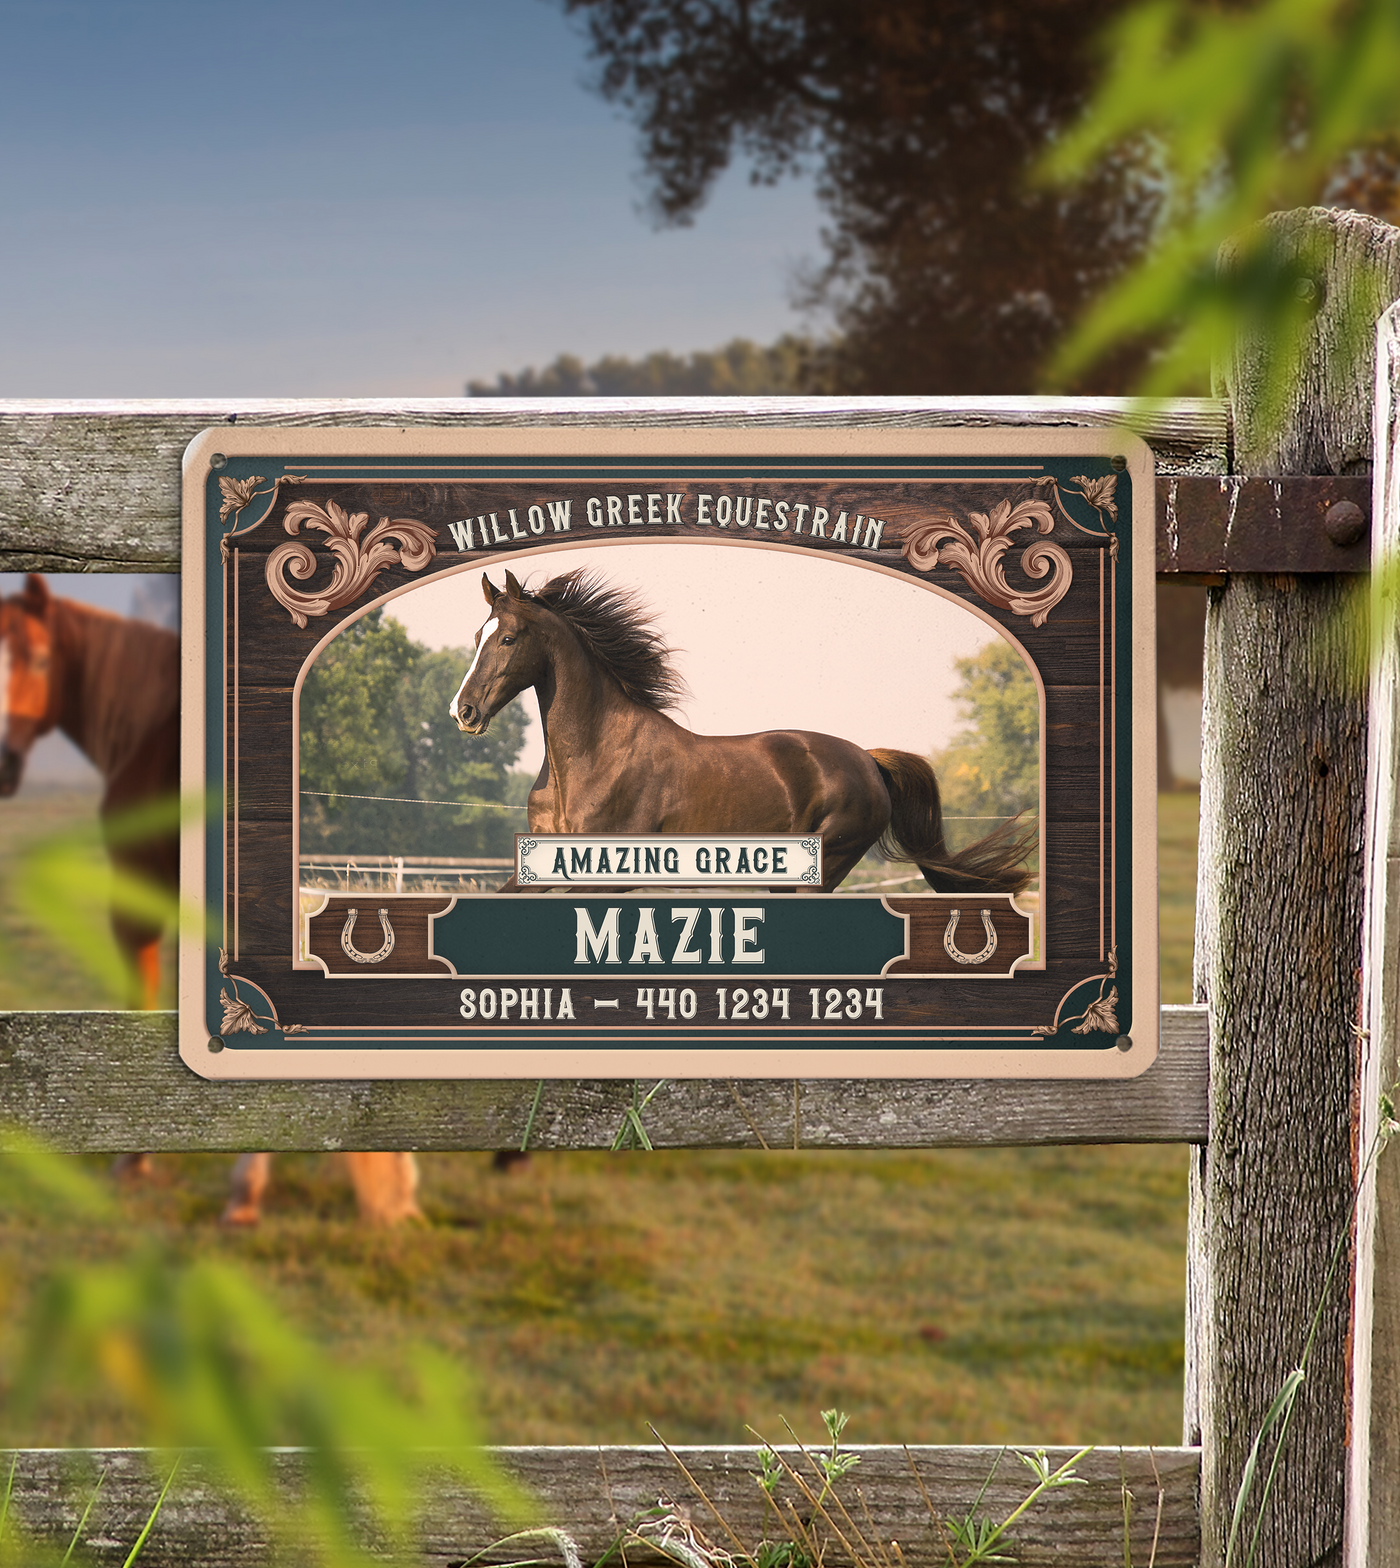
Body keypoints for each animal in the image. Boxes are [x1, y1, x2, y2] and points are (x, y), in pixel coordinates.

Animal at [449, 568, 1034, 895]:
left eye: (508, 638)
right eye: (477, 635)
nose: (464, 711)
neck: (592, 759)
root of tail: (868, 759)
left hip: (824, 866)